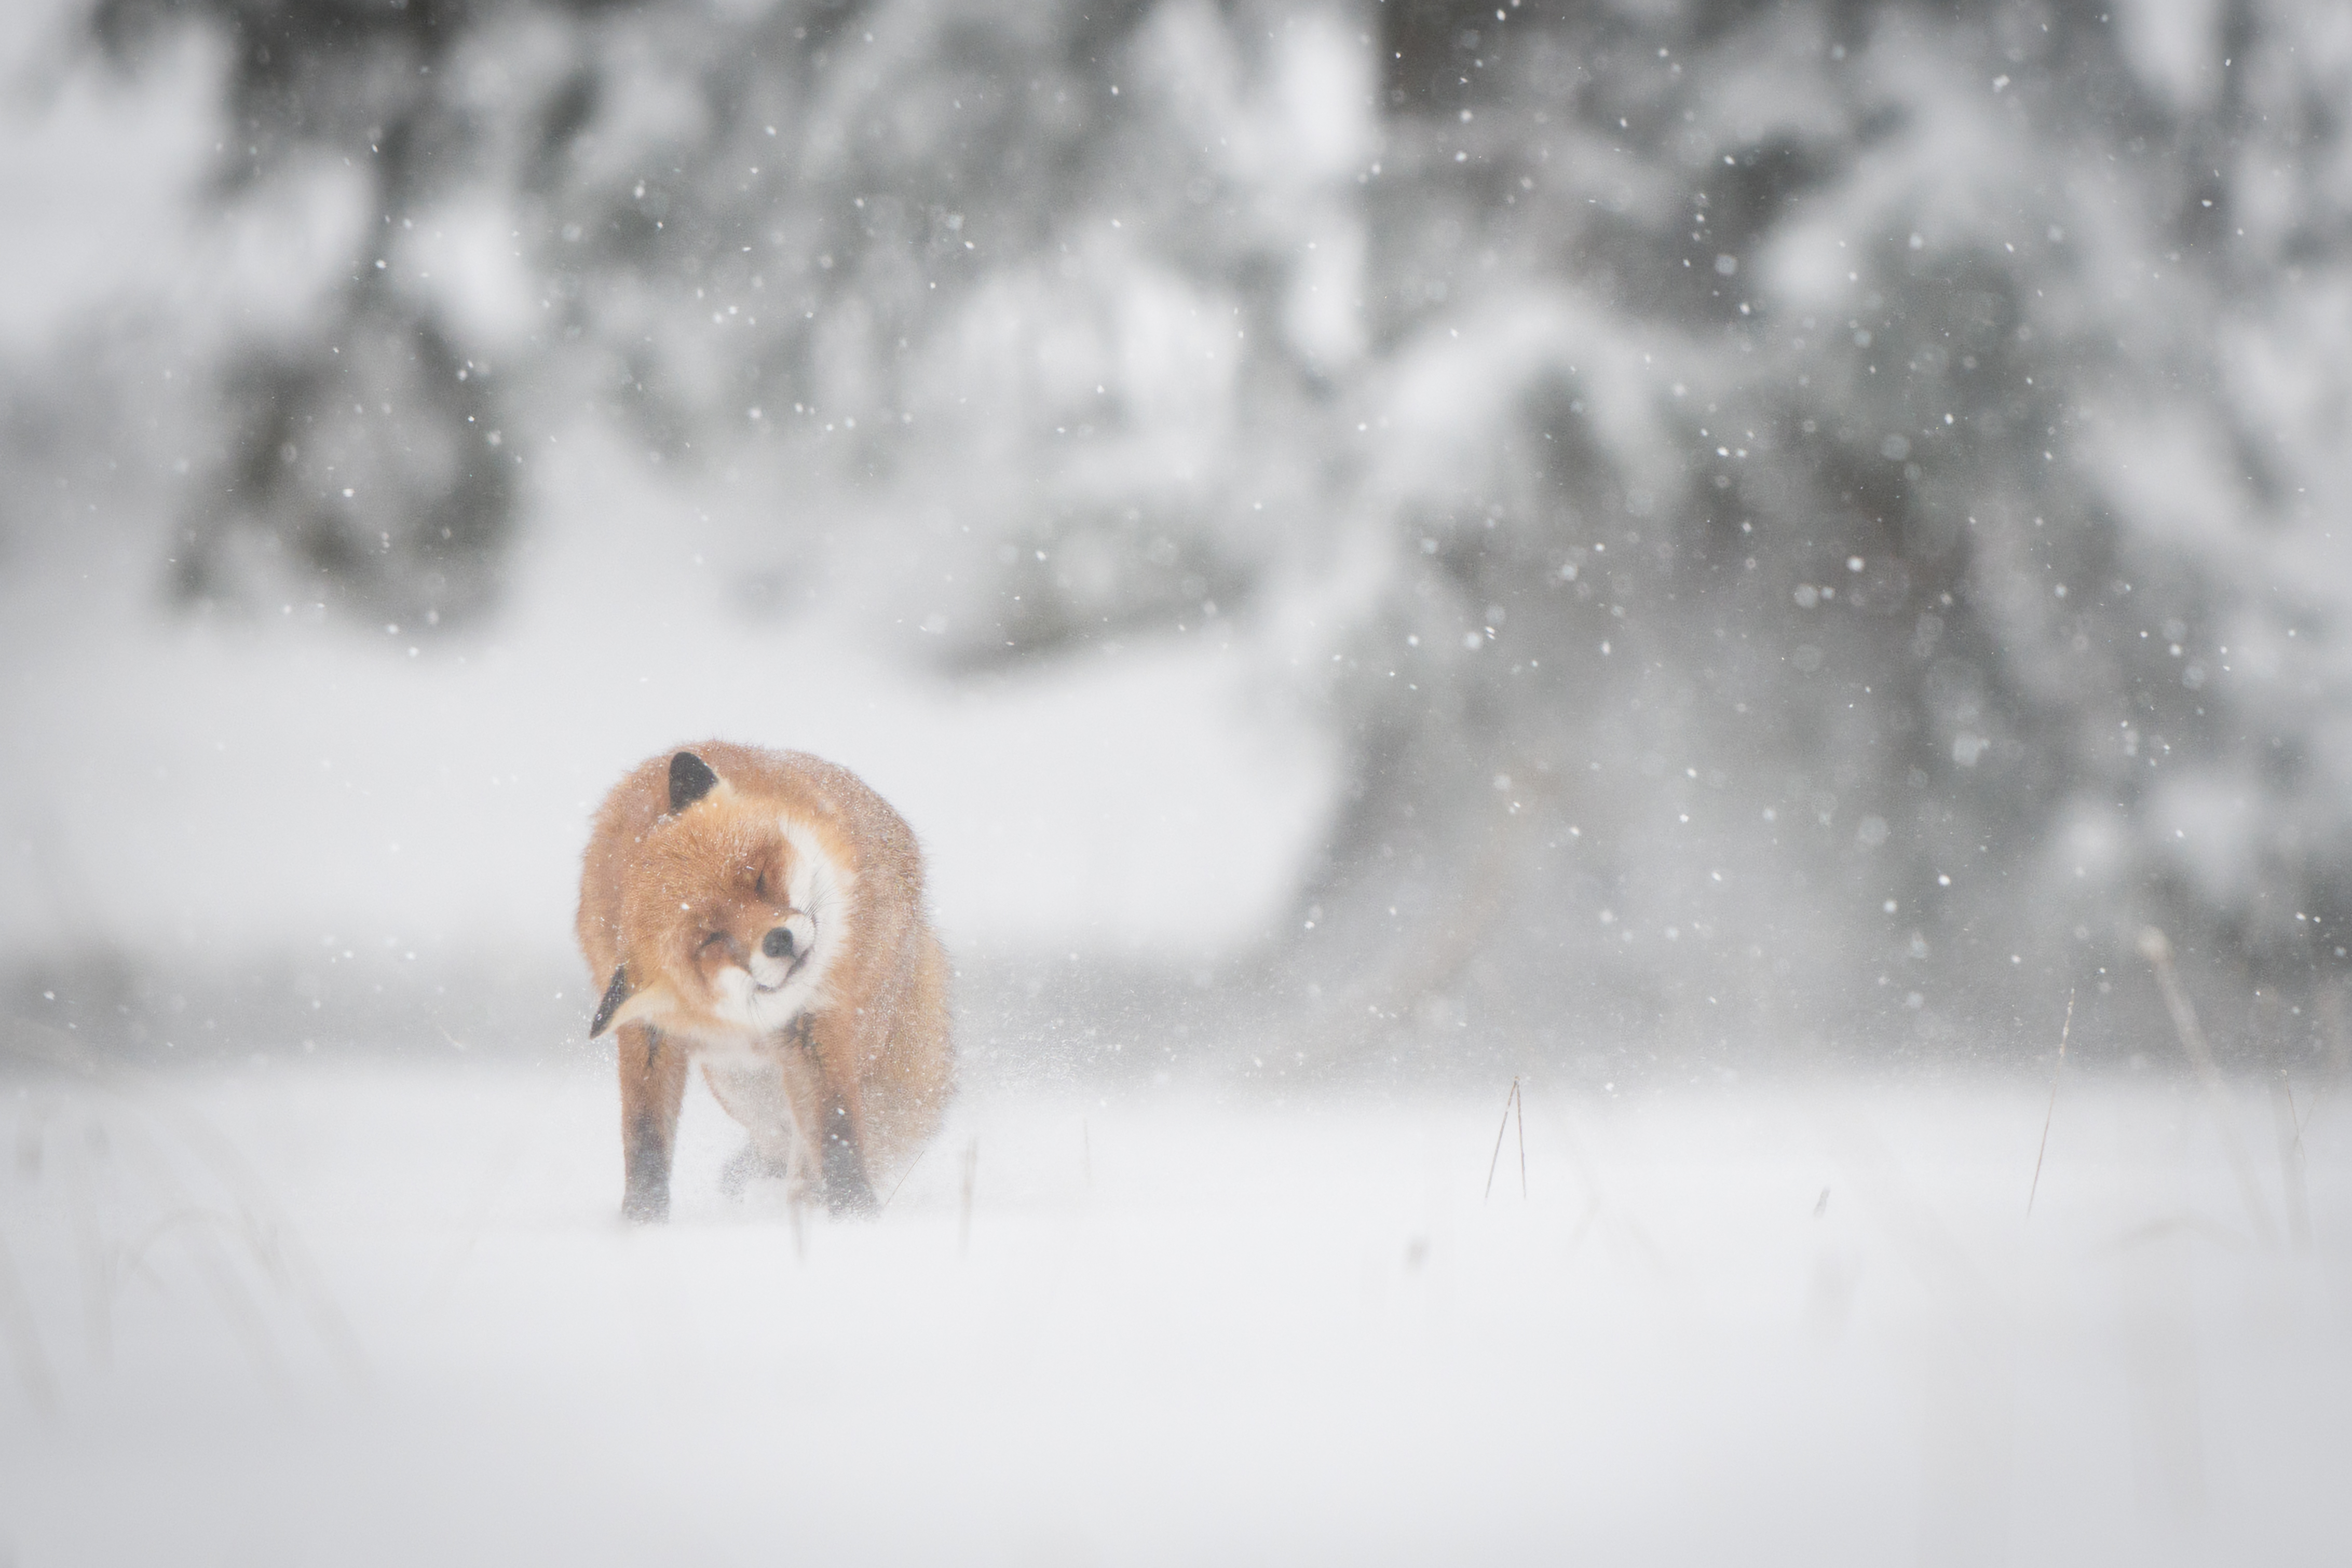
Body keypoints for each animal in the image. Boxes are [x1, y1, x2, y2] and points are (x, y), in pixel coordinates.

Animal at [577, 742, 953, 1222]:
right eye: (711, 939)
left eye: (756, 877)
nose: (778, 940)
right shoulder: (646, 1031)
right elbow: (644, 1138)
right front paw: (642, 1222)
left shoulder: (815, 1022)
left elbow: (837, 1131)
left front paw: (855, 1214)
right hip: (741, 1087)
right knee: (775, 1137)